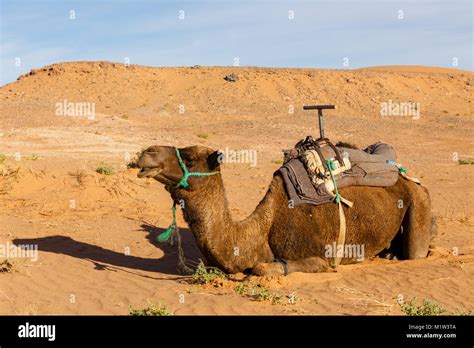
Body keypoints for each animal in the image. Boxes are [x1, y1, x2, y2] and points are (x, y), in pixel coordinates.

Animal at [136, 144, 434, 274]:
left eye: (188, 157)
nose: (147, 152)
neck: (262, 230)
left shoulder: (320, 256)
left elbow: (262, 269)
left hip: (419, 201)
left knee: (417, 251)